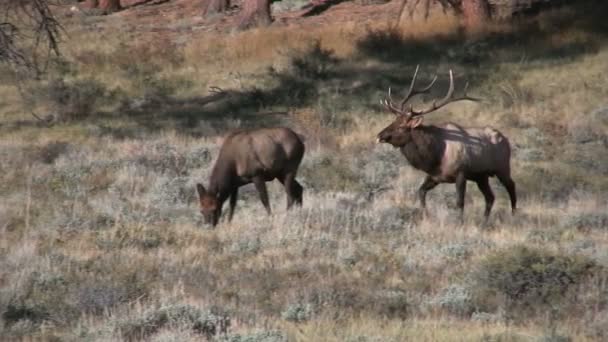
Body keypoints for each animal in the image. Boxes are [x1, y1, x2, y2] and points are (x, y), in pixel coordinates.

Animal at [378, 66, 516, 220]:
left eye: (401, 127)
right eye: (393, 121)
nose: (379, 135)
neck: (435, 157)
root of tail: (505, 139)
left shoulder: (461, 173)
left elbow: (459, 203)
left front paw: (460, 222)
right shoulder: (435, 177)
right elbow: (421, 191)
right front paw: (425, 215)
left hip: (502, 167)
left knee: (511, 186)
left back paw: (513, 214)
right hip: (481, 176)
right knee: (490, 197)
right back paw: (485, 220)